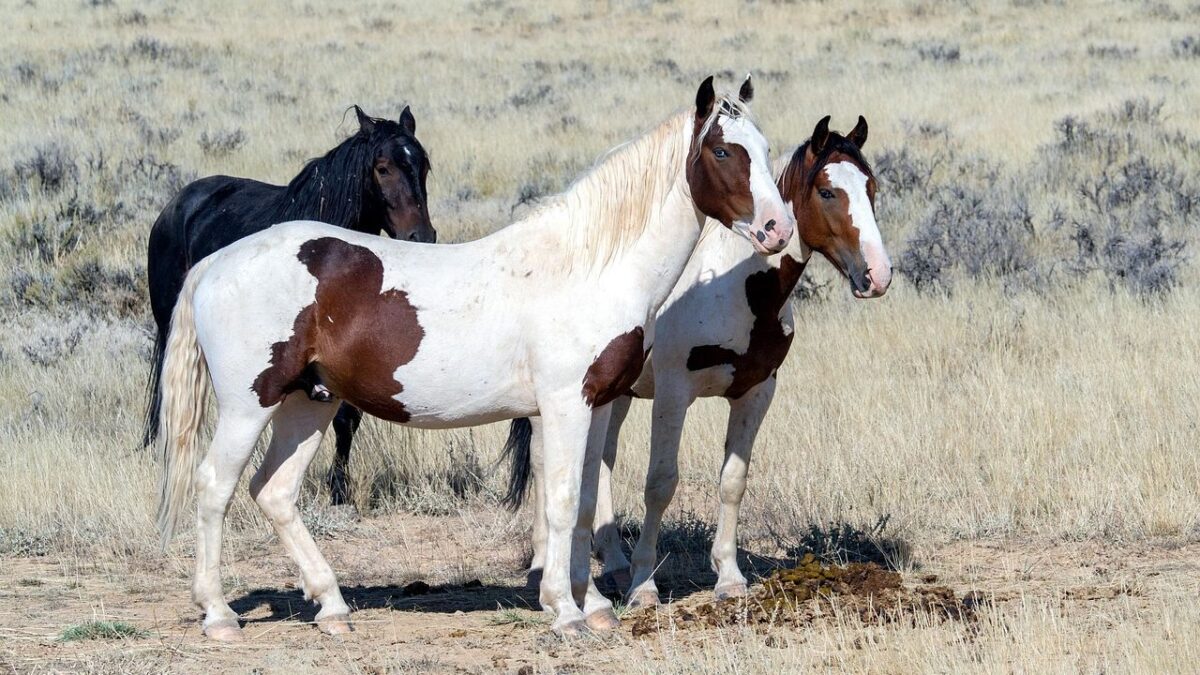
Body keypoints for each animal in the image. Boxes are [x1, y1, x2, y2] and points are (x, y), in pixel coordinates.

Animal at [143, 105, 435, 507]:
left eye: (424, 165)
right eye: (382, 167)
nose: (421, 236)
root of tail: (178, 204)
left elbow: (347, 419)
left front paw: (339, 489)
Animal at [509, 115, 891, 607]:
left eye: (871, 186)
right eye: (827, 192)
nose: (878, 275)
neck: (737, 289)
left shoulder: (756, 391)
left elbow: (733, 481)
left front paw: (728, 576)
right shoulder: (674, 393)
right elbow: (660, 483)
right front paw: (644, 584)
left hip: (616, 395)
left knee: (602, 460)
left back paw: (612, 563)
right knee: (544, 462)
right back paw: (544, 566)